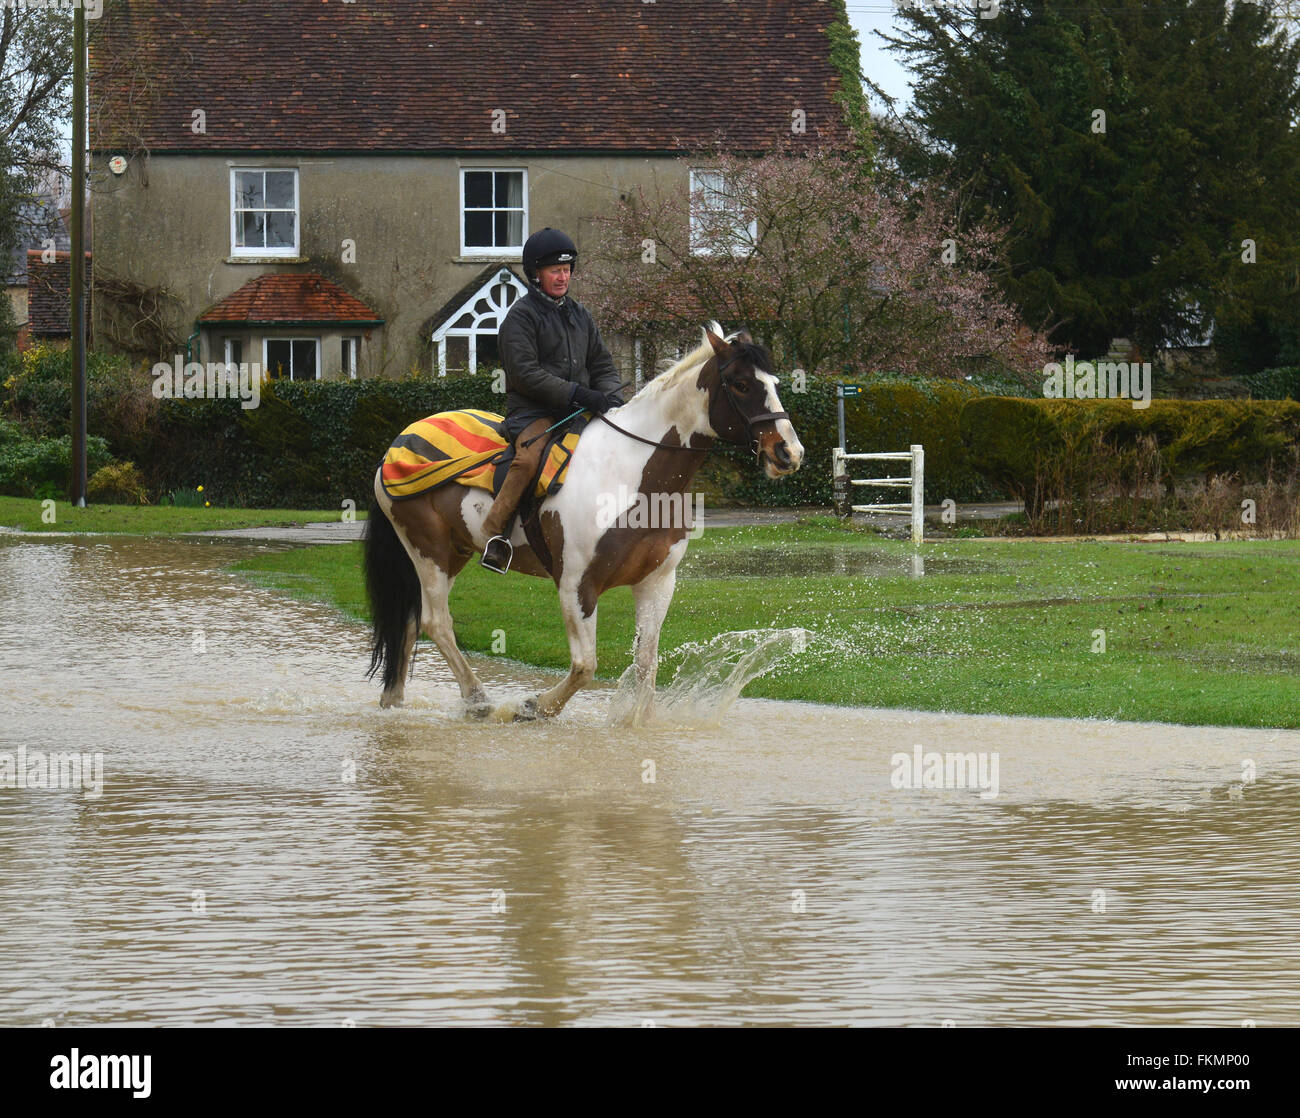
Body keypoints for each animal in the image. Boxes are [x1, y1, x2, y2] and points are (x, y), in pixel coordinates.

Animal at [361, 323, 795, 722]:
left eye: (773, 382)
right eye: (741, 384)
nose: (788, 452)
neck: (631, 473)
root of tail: (398, 445)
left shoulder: (656, 582)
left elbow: (646, 665)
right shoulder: (576, 584)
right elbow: (586, 666)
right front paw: (534, 706)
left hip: (454, 553)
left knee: (411, 623)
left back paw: (394, 702)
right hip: (428, 551)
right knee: (436, 623)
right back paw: (477, 699)